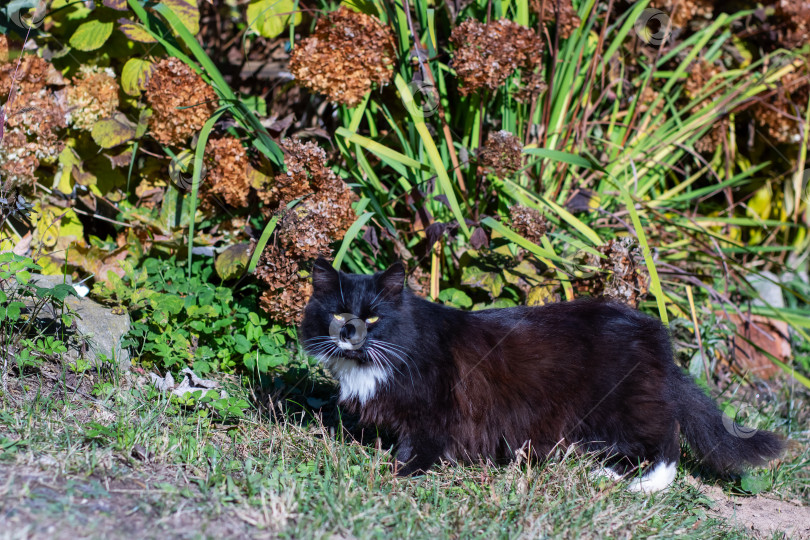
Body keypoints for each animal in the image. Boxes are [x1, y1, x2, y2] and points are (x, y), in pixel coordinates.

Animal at [298, 260, 784, 492]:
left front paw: (395, 476)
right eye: (339, 314)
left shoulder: (435, 414)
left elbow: (416, 451)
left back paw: (632, 483)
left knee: (665, 443)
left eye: (372, 318)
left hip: (620, 406)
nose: (350, 333)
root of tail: (652, 332)